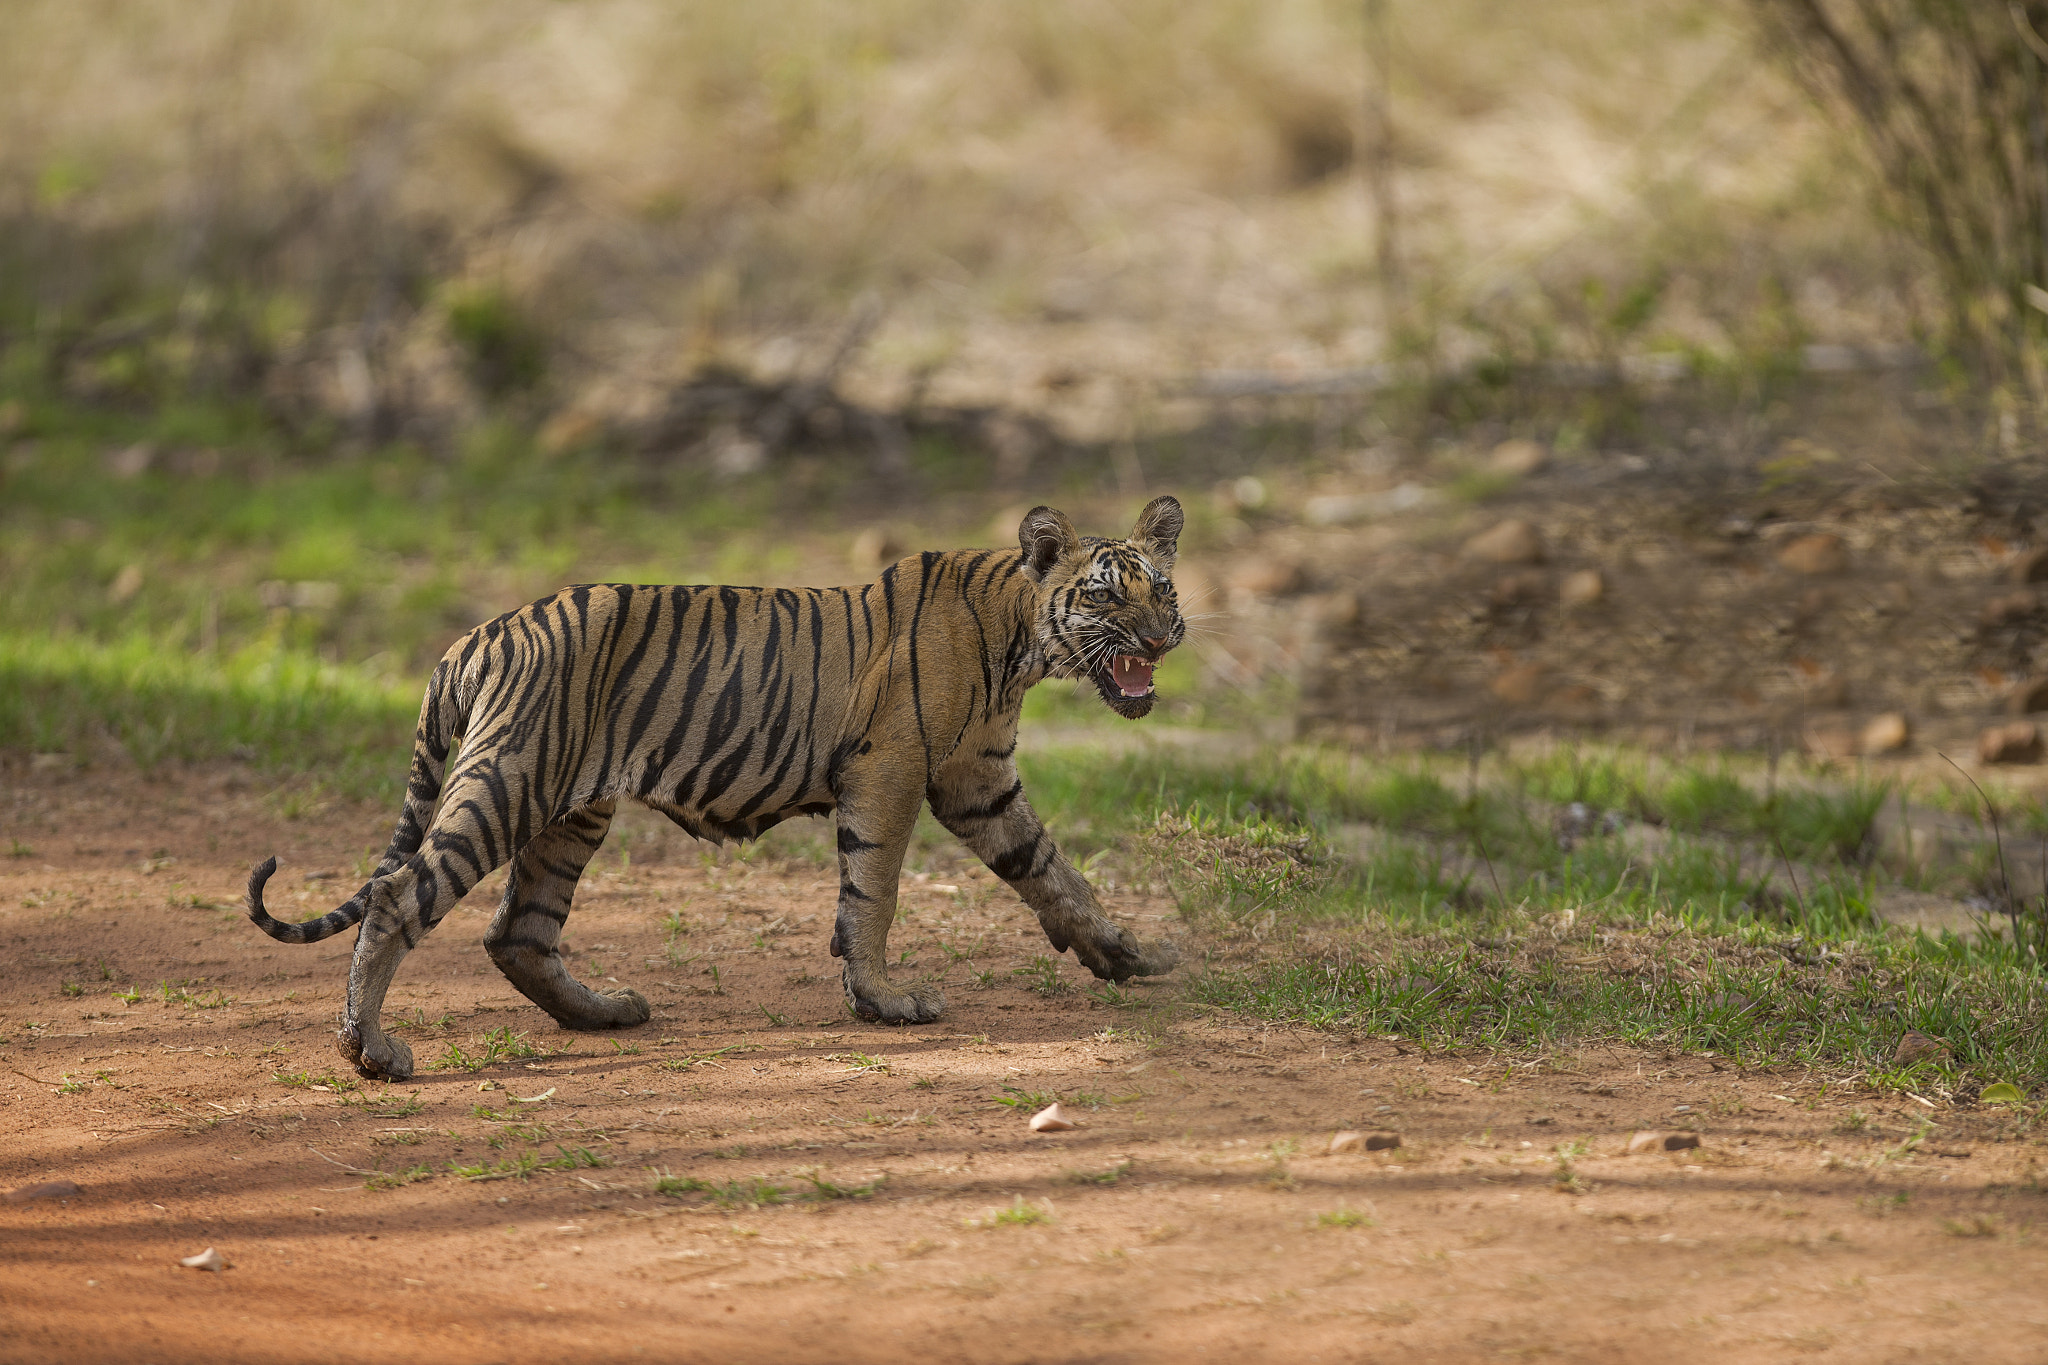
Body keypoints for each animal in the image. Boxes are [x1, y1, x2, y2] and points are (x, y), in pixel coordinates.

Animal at [247, 497, 1196, 1080]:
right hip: (508, 780)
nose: (1165, 635)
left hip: (570, 810)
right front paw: (885, 1000)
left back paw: (605, 1012)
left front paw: (1128, 953)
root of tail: (476, 635)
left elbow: (1053, 869)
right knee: (401, 894)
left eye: (1162, 587)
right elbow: (874, 892)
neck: (1019, 643)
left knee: (517, 931)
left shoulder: (979, 780)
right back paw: (371, 1049)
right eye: (1107, 597)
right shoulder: (891, 770)